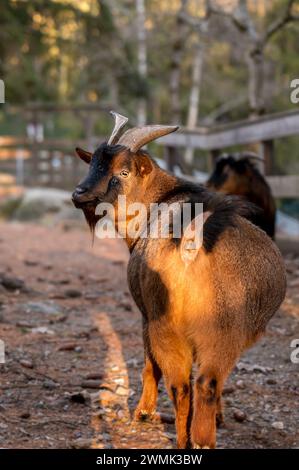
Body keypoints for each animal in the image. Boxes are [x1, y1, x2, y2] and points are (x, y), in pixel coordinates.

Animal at [71, 112, 288, 450]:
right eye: (92, 163)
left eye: (123, 170)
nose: (79, 194)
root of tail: (193, 240)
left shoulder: (146, 315)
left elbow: (150, 365)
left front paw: (143, 413)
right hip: (223, 328)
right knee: (204, 383)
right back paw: (201, 438)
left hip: (167, 324)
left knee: (181, 384)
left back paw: (184, 439)